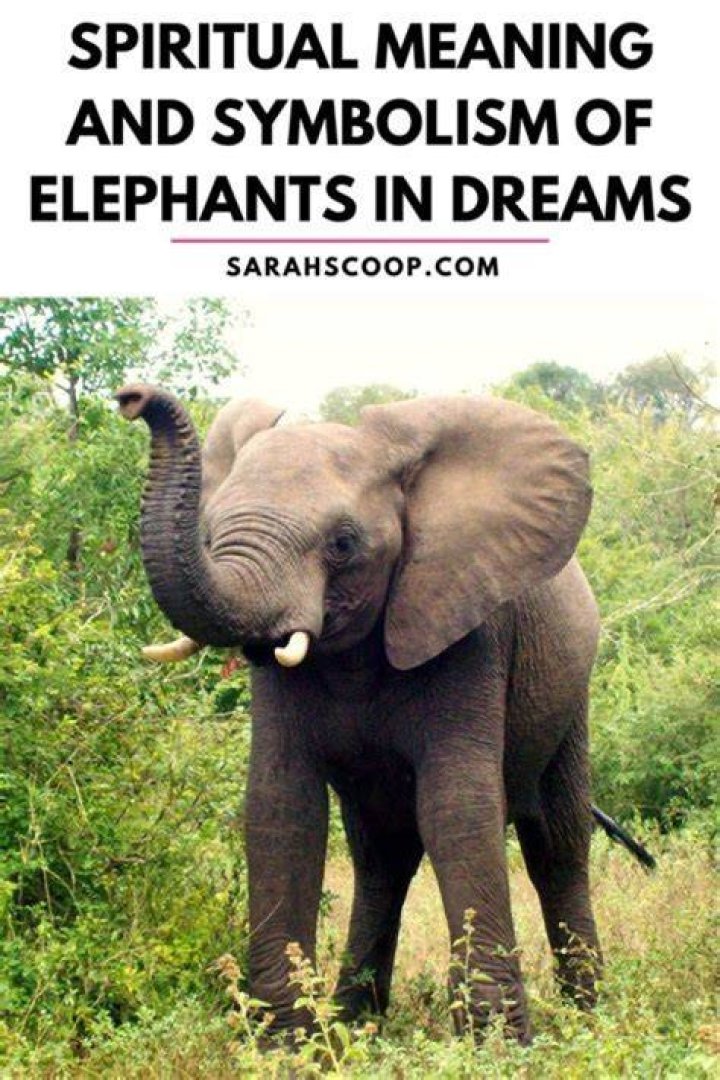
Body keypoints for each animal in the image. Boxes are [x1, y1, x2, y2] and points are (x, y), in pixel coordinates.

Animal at [116, 384, 654, 1044]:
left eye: (343, 544)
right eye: (210, 532)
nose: (132, 398)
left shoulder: (469, 625)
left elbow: (456, 806)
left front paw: (498, 1047)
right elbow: (281, 806)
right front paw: (289, 1047)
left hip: (571, 697)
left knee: (556, 844)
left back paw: (589, 1020)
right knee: (383, 855)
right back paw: (356, 1024)